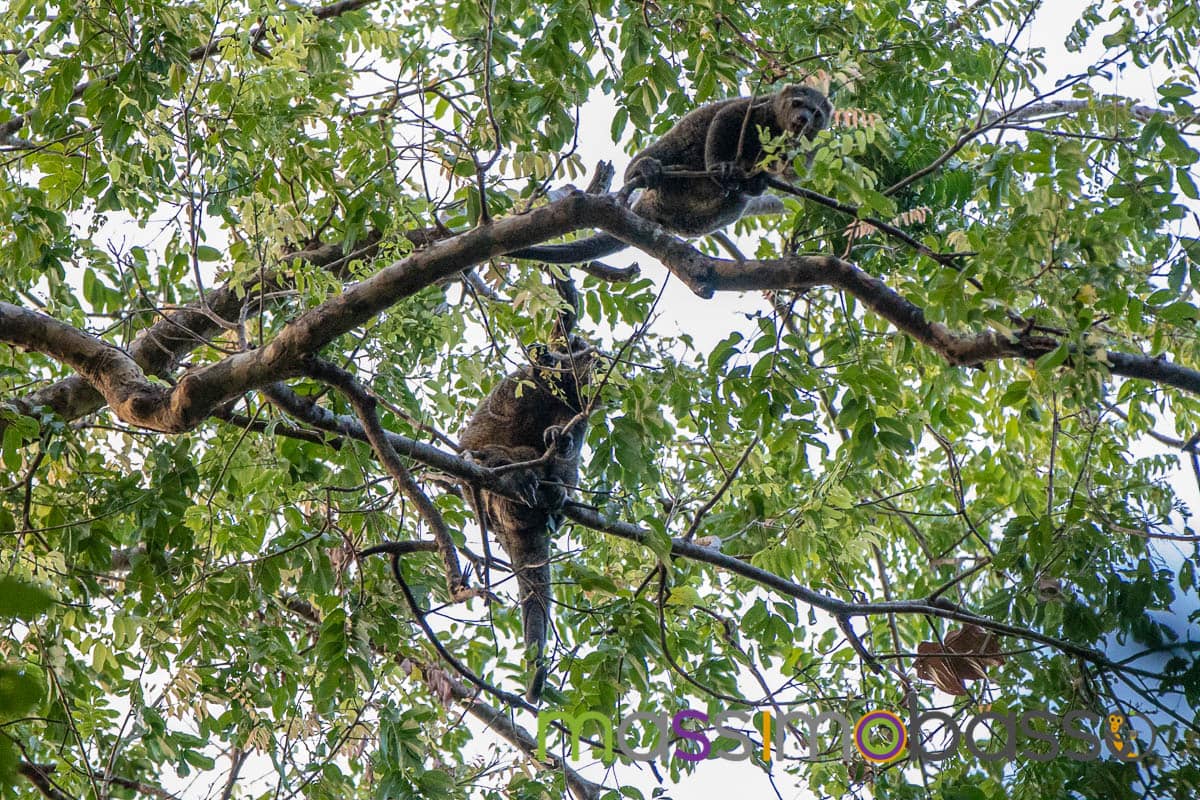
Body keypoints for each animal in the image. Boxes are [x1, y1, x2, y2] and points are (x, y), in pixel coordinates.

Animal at [459, 283, 593, 702]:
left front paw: (560, 449)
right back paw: (512, 474)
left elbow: (571, 439)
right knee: (497, 456)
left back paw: (553, 493)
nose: (553, 356)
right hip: (490, 502)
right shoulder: (522, 387)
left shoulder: (576, 405)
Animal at [506, 84, 832, 264]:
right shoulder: (756, 107)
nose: (802, 119)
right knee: (666, 148)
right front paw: (720, 166)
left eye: (817, 114)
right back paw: (644, 169)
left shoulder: (808, 146)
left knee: (735, 202)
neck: (777, 126)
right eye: (797, 103)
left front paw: (762, 178)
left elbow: (794, 172)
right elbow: (724, 118)